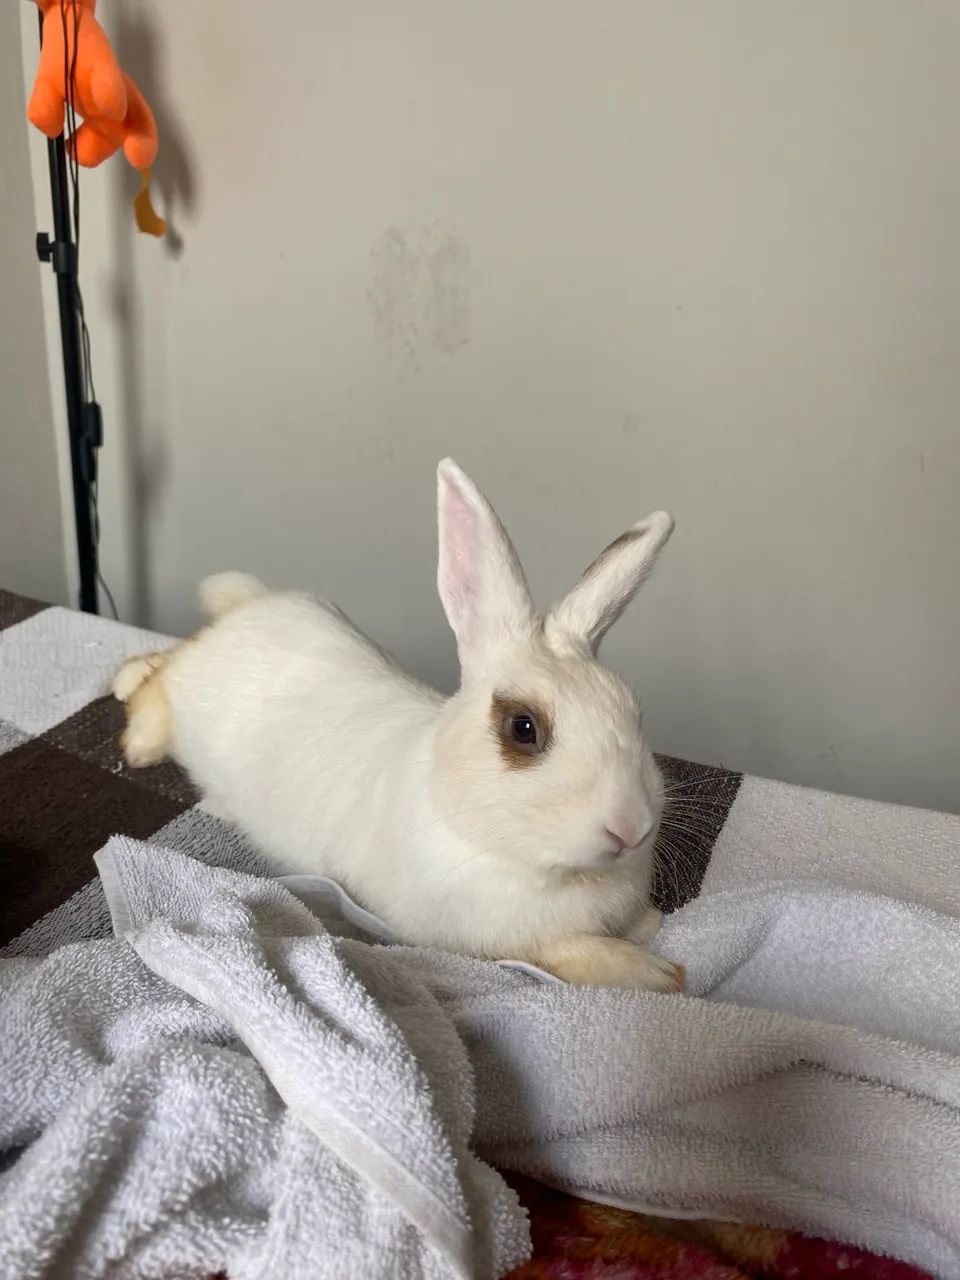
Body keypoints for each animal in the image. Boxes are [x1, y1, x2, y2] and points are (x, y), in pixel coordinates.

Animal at [113, 459, 682, 992]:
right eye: (523, 728)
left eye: (634, 711)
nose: (630, 828)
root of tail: (248, 607)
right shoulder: (488, 939)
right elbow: (569, 953)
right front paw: (660, 973)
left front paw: (650, 927)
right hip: (192, 699)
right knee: (162, 675)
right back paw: (135, 738)